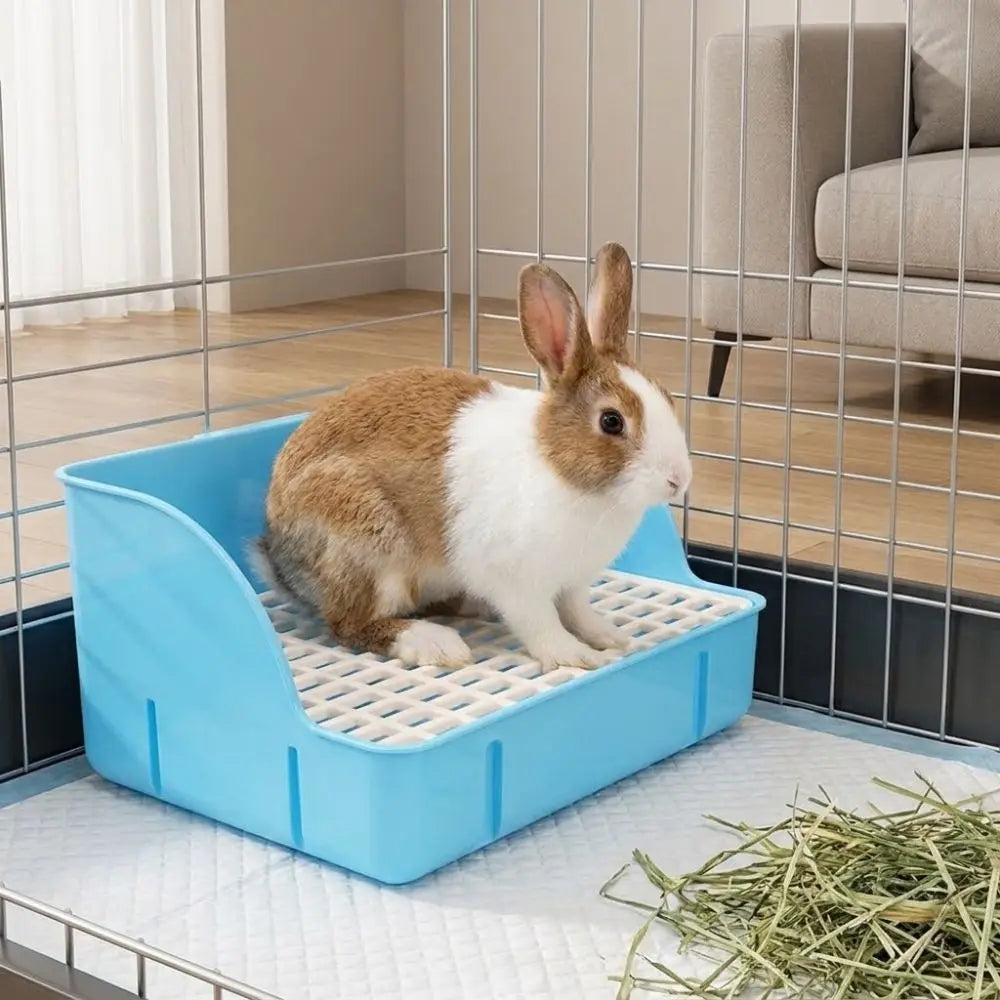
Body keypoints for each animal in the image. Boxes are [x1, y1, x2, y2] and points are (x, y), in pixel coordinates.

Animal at [251, 242, 692, 672]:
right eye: (612, 421)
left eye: (668, 398)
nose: (679, 480)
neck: (558, 468)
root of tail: (279, 556)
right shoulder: (517, 582)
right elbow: (541, 623)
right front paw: (573, 655)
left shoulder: (572, 583)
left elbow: (578, 610)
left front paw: (609, 637)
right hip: (368, 547)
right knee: (349, 624)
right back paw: (434, 643)